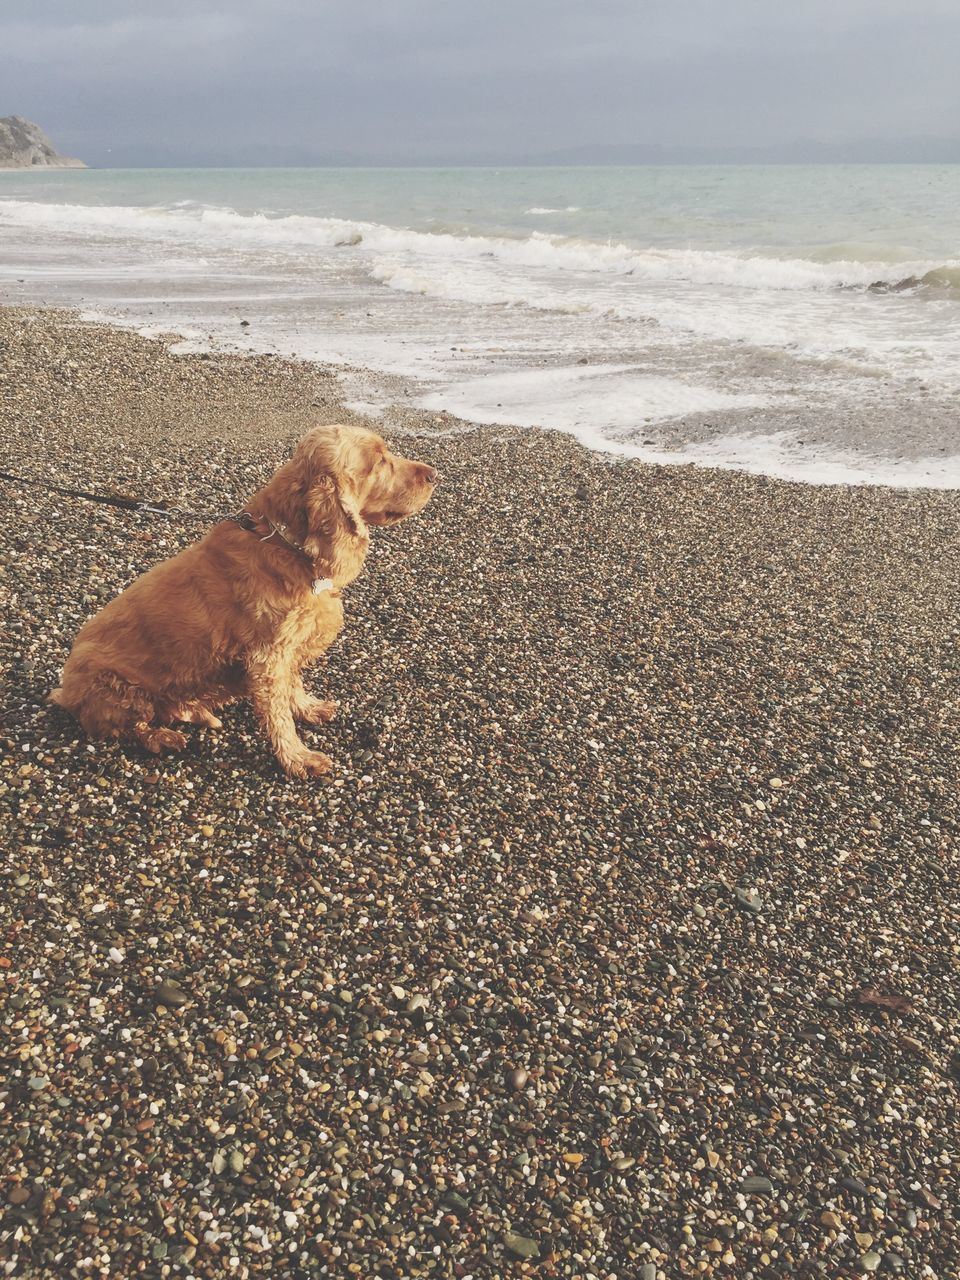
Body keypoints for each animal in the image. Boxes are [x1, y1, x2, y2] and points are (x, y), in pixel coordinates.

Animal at [49, 424, 440, 773]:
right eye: (379, 462)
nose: (434, 474)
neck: (287, 543)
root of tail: (64, 692)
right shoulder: (268, 655)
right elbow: (278, 714)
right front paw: (297, 758)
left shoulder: (289, 648)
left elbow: (293, 686)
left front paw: (308, 707)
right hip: (117, 689)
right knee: (128, 727)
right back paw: (163, 737)